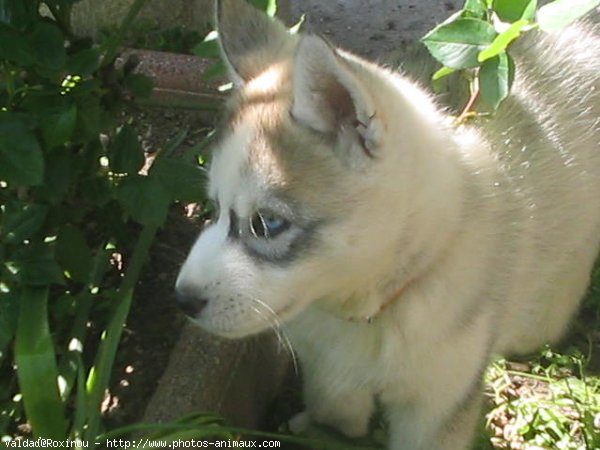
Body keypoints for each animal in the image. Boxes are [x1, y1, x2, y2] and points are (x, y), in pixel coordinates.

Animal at [176, 1, 600, 448]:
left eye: (268, 222)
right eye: (214, 206)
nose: (182, 300)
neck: (372, 308)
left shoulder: (436, 405)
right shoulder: (328, 369)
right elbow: (336, 414)